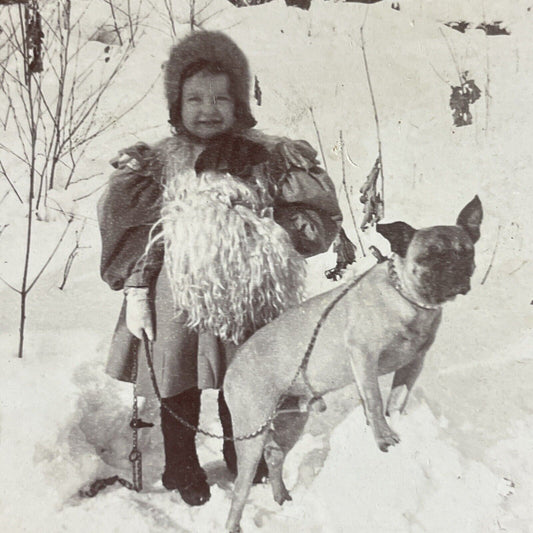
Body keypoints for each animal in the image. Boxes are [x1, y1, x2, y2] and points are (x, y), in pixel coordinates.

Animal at [222, 196, 480, 532]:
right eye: (429, 256)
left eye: (467, 252)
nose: (455, 267)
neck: (408, 300)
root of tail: (233, 365)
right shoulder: (364, 356)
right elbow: (374, 399)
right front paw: (384, 438)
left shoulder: (412, 364)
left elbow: (396, 400)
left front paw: (392, 425)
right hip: (251, 432)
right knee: (241, 487)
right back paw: (235, 522)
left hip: (292, 421)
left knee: (275, 456)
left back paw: (282, 497)